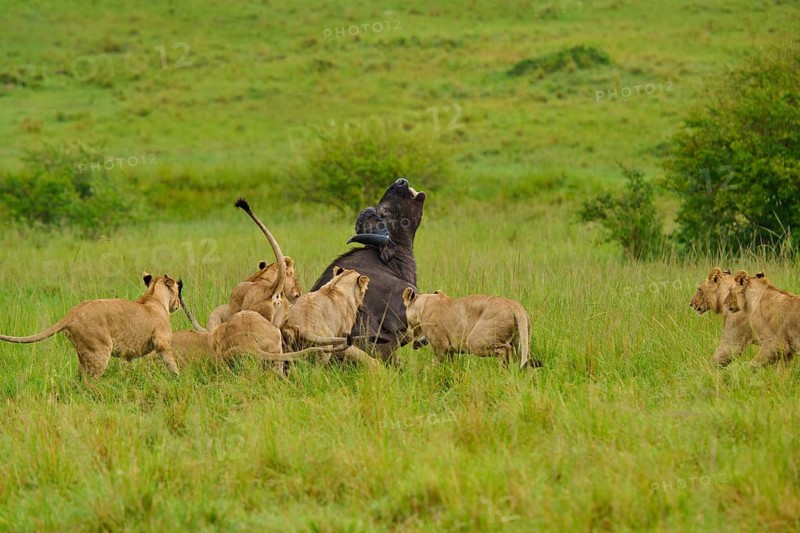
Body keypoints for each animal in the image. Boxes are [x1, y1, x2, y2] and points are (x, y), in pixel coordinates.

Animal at [0, 273, 181, 378]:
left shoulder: (128, 354)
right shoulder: (161, 342)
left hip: (84, 354)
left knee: (80, 379)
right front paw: (178, 379)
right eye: (178, 289)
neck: (154, 297)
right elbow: (171, 363)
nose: (179, 303)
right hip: (99, 351)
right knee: (90, 382)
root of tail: (74, 311)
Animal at [402, 288, 533, 369]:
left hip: (476, 340)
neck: (423, 304)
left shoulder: (440, 345)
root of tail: (515, 306)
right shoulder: (449, 350)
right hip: (520, 341)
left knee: (505, 349)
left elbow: (436, 362)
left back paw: (503, 371)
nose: (408, 332)